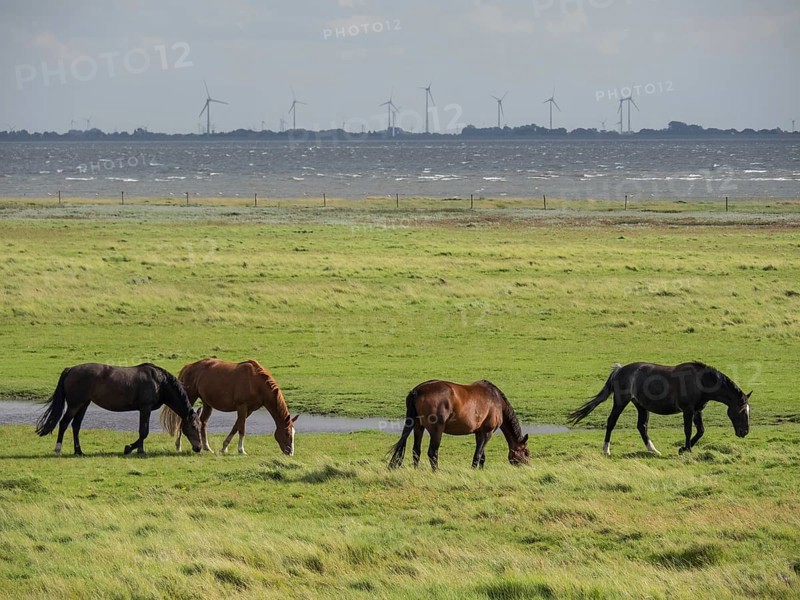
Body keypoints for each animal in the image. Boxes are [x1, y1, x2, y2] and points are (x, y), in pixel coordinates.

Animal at [35, 362, 202, 456]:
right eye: (194, 426)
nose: (199, 448)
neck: (159, 382)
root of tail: (70, 370)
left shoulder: (144, 409)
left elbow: (142, 431)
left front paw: (140, 450)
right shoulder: (145, 407)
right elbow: (144, 431)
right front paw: (129, 448)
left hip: (84, 404)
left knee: (76, 426)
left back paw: (79, 451)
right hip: (75, 404)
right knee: (64, 423)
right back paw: (58, 449)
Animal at [161, 358, 298, 455]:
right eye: (287, 433)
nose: (290, 452)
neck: (255, 382)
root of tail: (189, 366)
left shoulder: (249, 410)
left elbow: (236, 427)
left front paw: (224, 447)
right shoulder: (242, 407)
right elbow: (242, 428)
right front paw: (241, 450)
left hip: (207, 403)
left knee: (203, 422)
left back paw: (206, 447)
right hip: (190, 397)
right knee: (182, 420)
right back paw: (178, 446)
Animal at [388, 379, 530, 471]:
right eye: (527, 453)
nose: (528, 466)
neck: (496, 400)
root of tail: (416, 391)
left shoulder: (479, 433)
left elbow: (481, 455)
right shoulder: (487, 432)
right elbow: (478, 454)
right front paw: (473, 470)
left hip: (418, 427)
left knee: (416, 451)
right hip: (436, 431)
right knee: (432, 452)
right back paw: (436, 471)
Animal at [568, 361, 751, 456]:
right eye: (742, 411)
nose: (744, 432)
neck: (700, 382)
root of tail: (619, 370)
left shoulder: (697, 410)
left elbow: (700, 431)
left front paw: (683, 449)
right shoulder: (688, 410)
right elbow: (688, 430)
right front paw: (687, 449)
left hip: (641, 406)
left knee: (642, 426)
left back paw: (653, 450)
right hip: (621, 402)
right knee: (611, 422)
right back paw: (606, 450)